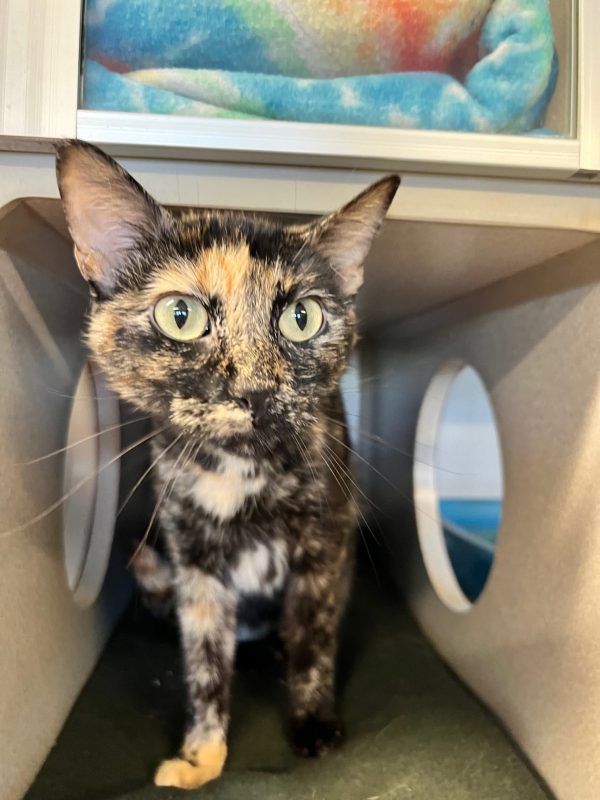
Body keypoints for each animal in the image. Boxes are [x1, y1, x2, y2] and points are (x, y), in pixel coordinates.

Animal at [56, 140, 399, 790]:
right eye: (181, 316)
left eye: (302, 318)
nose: (256, 390)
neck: (240, 471)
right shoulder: (194, 564)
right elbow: (205, 663)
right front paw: (200, 759)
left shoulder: (326, 543)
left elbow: (315, 638)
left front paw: (314, 725)